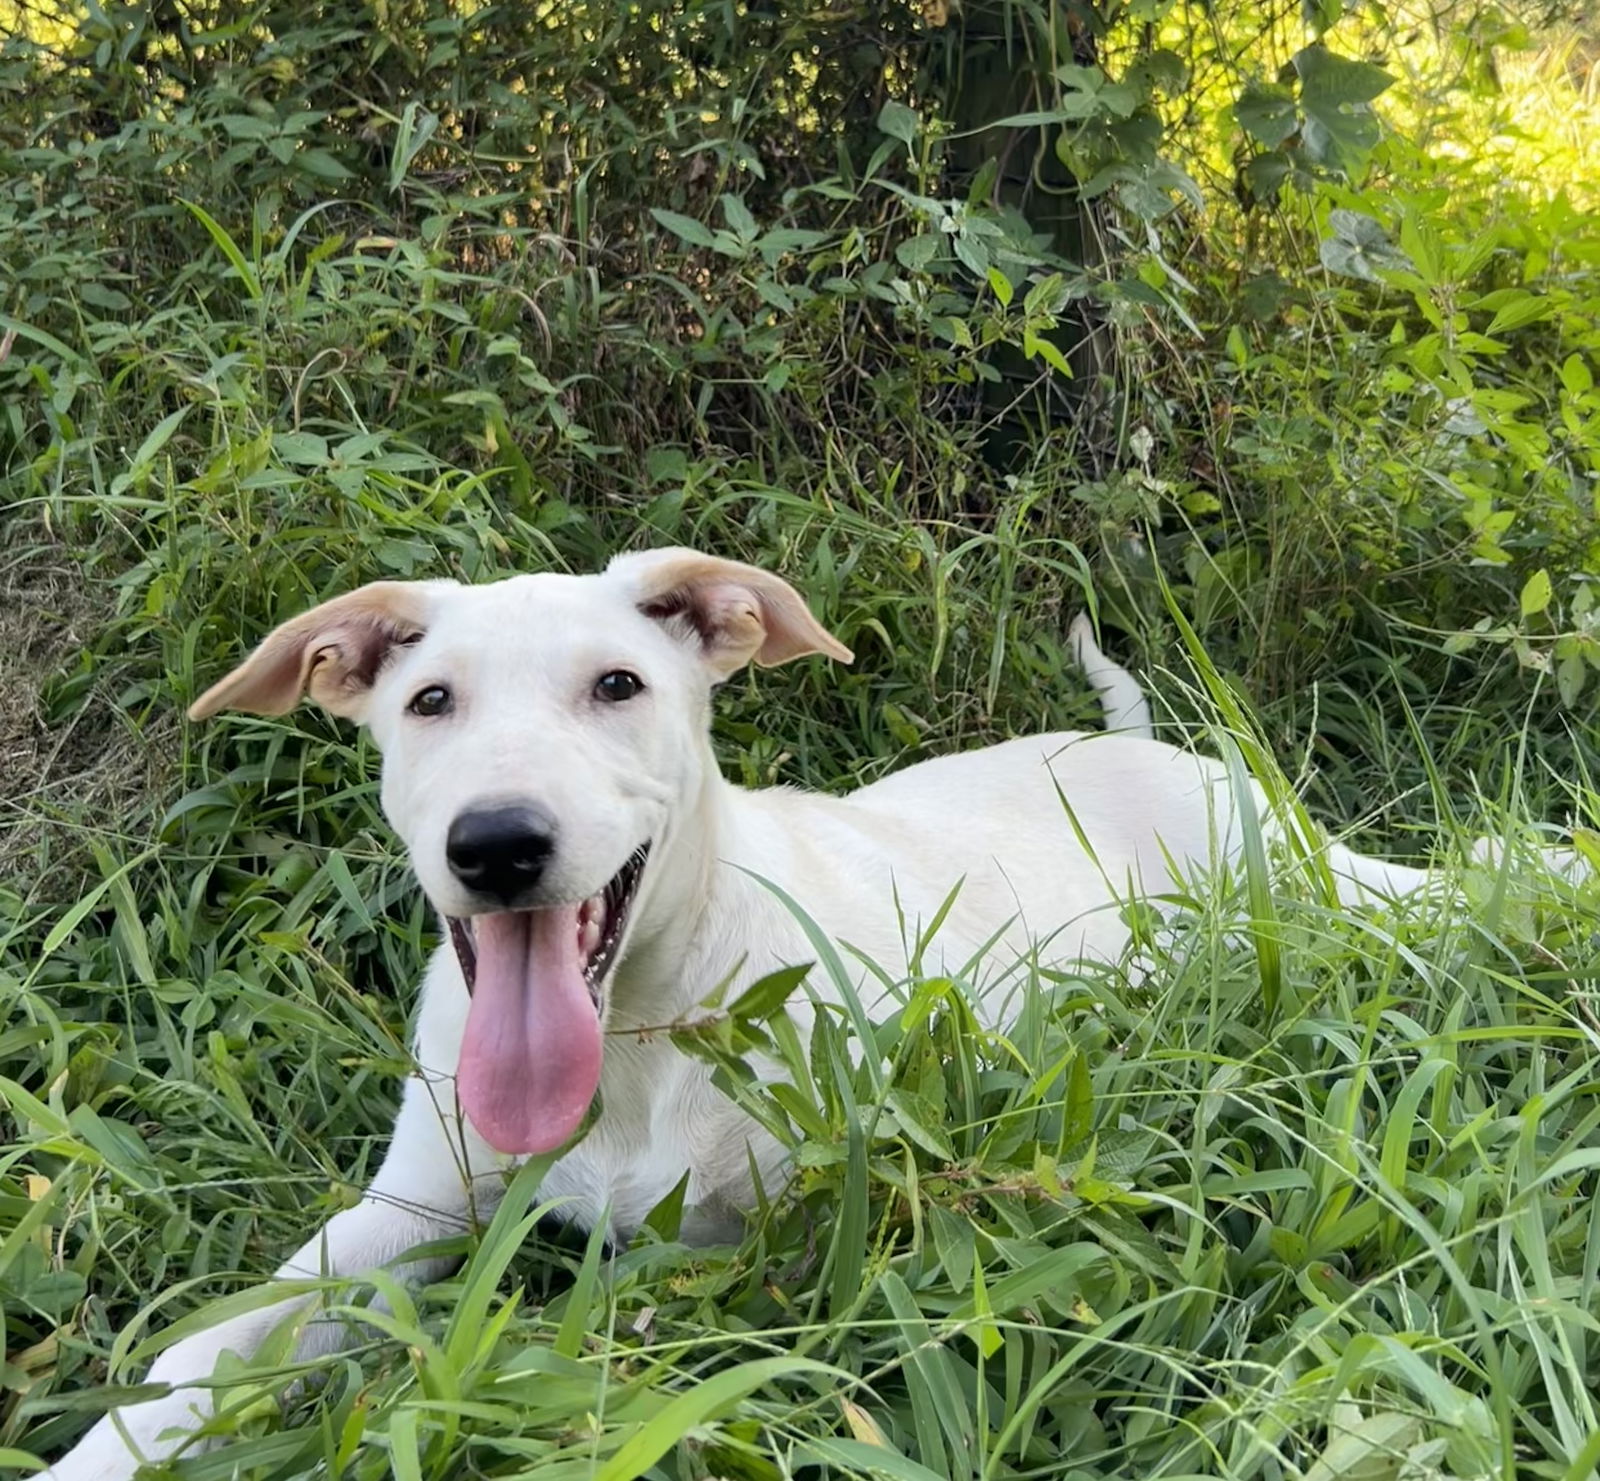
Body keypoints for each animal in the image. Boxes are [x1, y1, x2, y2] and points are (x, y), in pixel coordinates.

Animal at [37, 550, 1561, 1477]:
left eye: (618, 685)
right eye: (429, 701)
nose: (499, 845)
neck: (636, 1040)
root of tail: (1131, 739)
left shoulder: (785, 1252)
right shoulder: (410, 1212)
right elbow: (211, 1342)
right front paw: (107, 1446)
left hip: (1305, 884)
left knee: (1456, 877)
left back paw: (1547, 870)